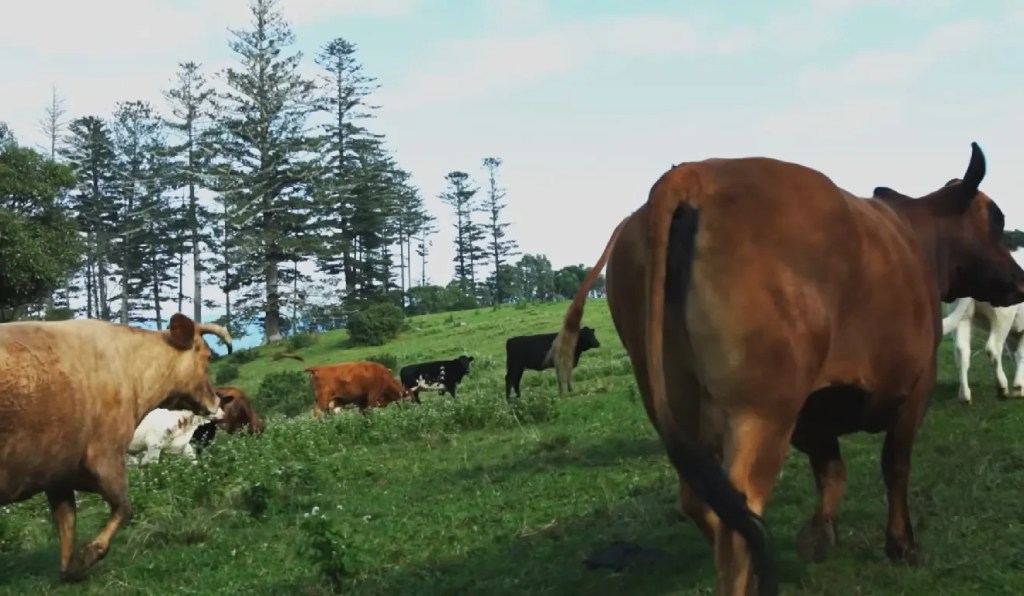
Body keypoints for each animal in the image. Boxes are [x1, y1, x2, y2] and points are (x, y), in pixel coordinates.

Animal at [0, 313, 232, 582]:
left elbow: (66, 522)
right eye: (207, 356)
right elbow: (123, 508)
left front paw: (70, 569)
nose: (216, 402)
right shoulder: (106, 456)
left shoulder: (58, 470)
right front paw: (89, 555)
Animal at [547, 143, 1024, 595]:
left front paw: (819, 535)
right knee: (739, 521)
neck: (914, 238)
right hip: (762, 415)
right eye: (995, 220)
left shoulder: (810, 411)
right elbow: (894, 467)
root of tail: (692, 175)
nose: (1019, 281)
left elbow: (832, 472)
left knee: (709, 505)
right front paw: (901, 544)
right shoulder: (913, 389)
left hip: (680, 402)